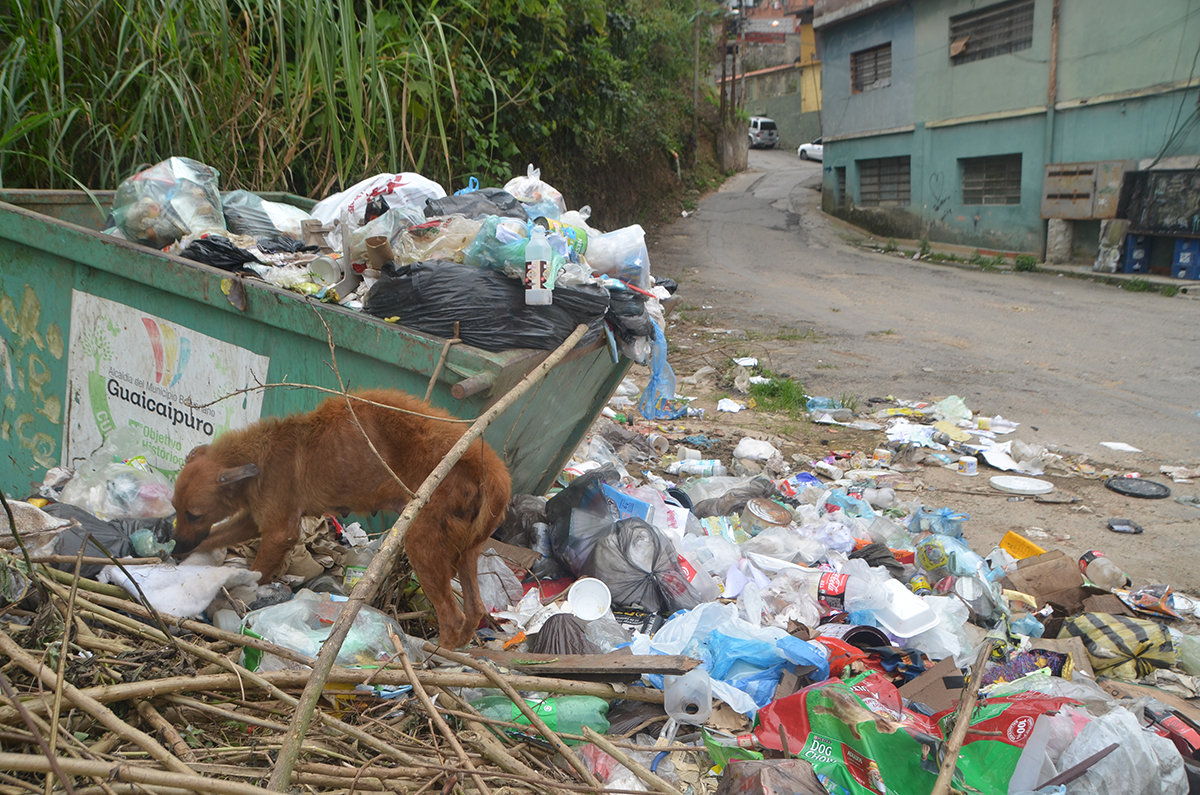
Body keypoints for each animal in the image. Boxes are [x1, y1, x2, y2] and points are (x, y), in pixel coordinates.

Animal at [171, 391, 508, 648]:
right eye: (175, 508)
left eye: (194, 514)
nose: (174, 547)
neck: (262, 455)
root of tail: (492, 471)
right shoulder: (253, 521)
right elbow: (213, 537)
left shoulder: (279, 532)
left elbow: (259, 570)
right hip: (466, 552)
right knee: (474, 609)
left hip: (421, 543)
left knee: (453, 617)